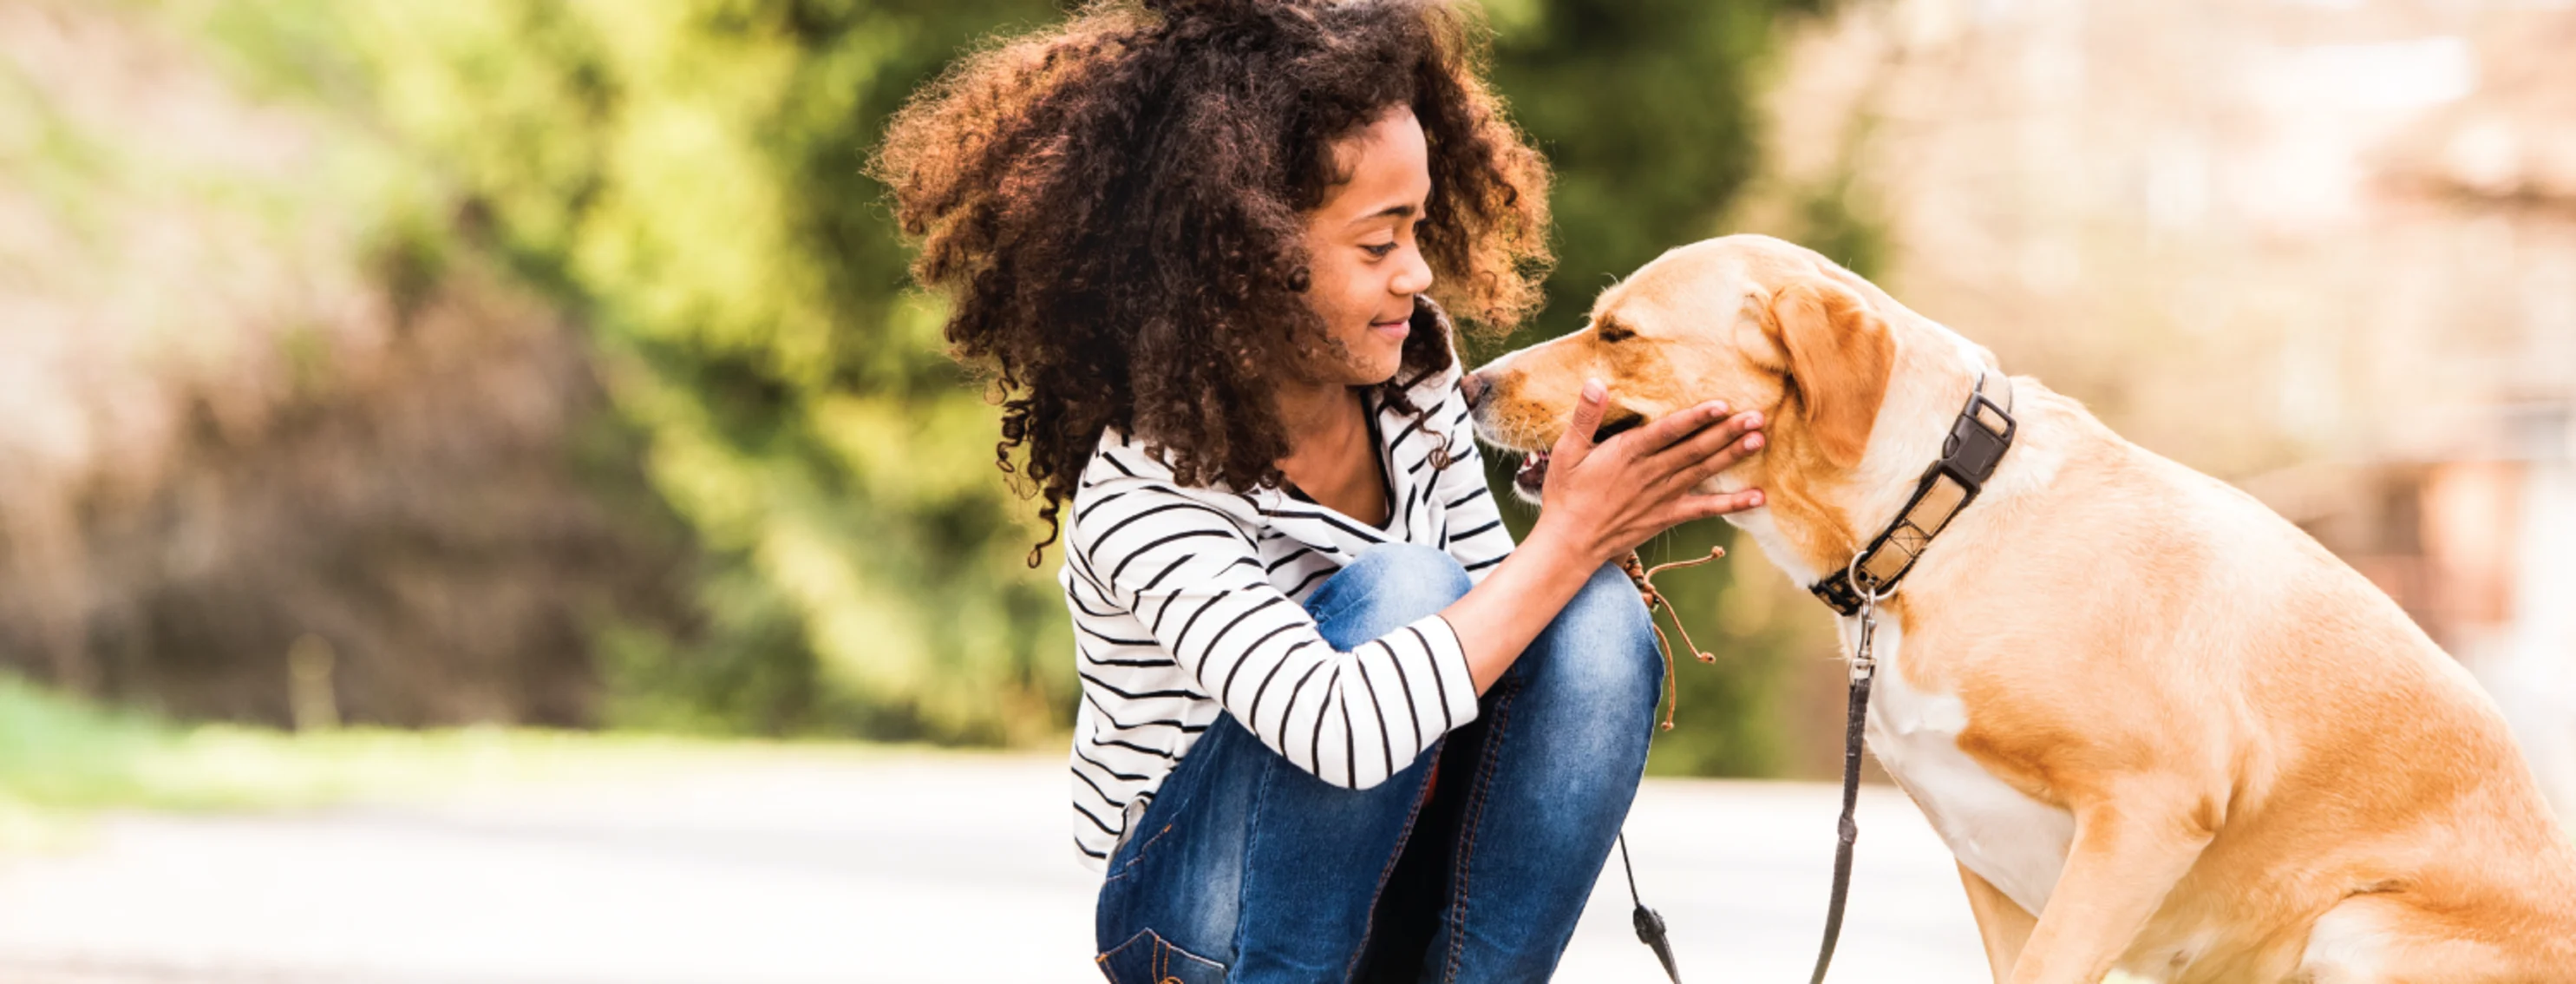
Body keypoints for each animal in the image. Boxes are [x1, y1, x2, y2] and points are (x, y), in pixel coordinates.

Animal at [1473, 234, 2576, 979]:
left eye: (1619, 334)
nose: (1472, 381)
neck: (1935, 518)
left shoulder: (2149, 812)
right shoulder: (1993, 865)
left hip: (2355, 926)